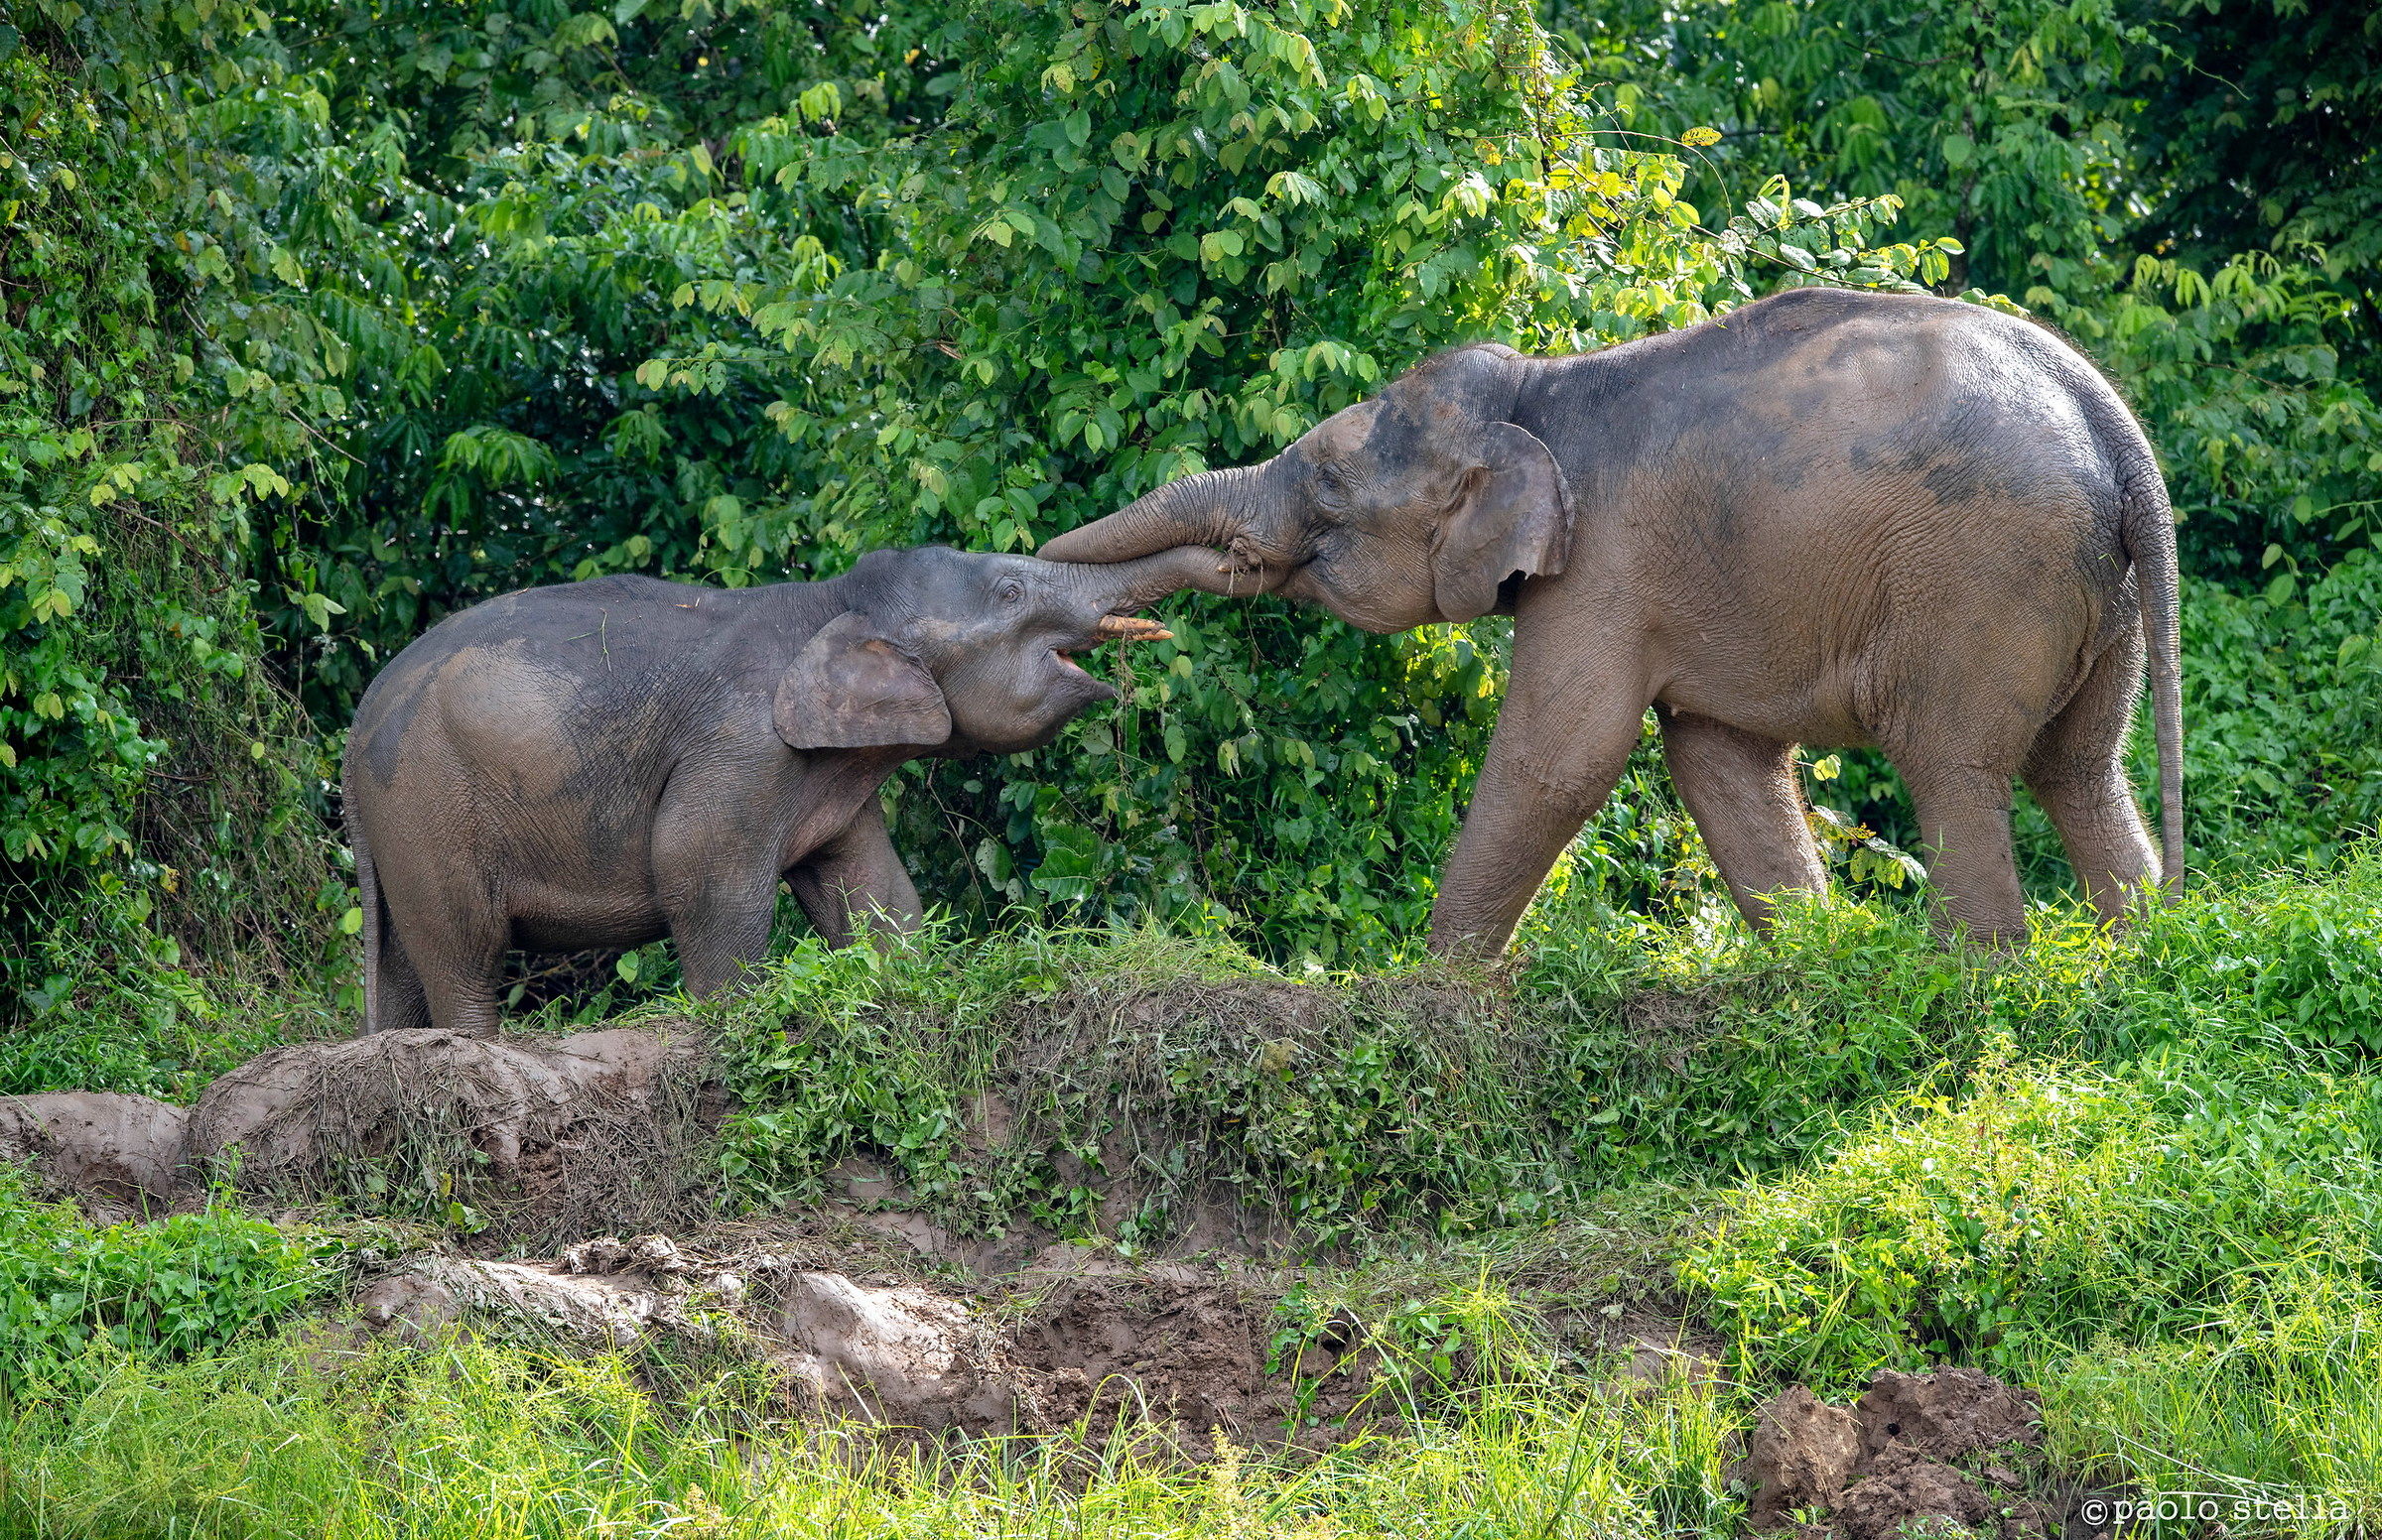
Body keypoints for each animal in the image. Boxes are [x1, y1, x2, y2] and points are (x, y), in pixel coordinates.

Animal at [343, 544, 1236, 1034]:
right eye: (1011, 594)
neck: (828, 601)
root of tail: (356, 728)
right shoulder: (743, 743)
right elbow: (702, 871)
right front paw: (731, 1024)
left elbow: (876, 891)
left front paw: (904, 985)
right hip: (428, 802)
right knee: (463, 947)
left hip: (401, 825)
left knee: (403, 963)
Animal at [1040, 287, 2183, 954]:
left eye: (1324, 489)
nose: (1027, 563)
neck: (1534, 392)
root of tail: (2109, 420)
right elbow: (1717, 761)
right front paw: (1815, 969)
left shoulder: (1601, 568)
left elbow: (1562, 757)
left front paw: (1430, 992)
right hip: (2099, 593)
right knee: (2079, 768)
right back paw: (2141, 956)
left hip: (1985, 575)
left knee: (1954, 765)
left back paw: (1971, 986)